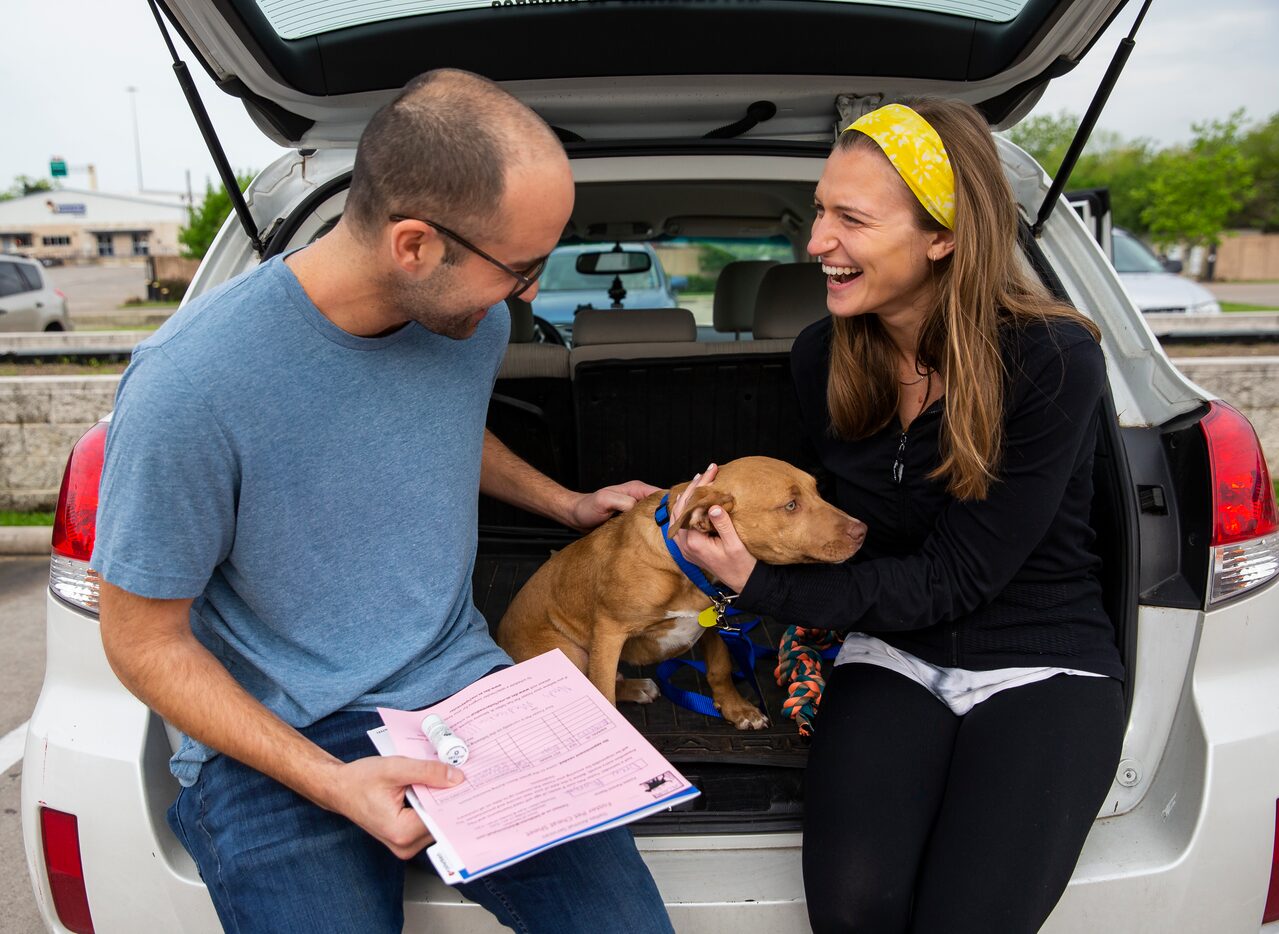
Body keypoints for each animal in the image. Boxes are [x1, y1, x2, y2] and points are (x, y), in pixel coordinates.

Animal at [493, 455, 864, 721]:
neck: (685, 568)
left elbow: (720, 667)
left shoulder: (714, 617)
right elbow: (603, 692)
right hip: (569, 652)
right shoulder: (609, 632)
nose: (863, 531)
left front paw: (735, 709)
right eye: (790, 505)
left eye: (817, 491)